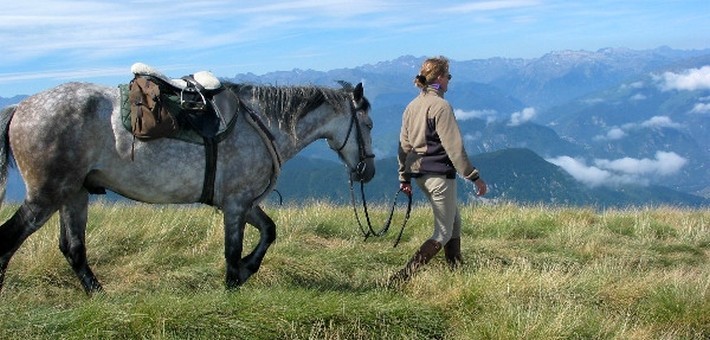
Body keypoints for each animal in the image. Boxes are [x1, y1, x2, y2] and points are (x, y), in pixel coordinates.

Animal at [0, 81, 378, 294]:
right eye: (370, 124)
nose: (368, 171)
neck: (264, 124)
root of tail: (21, 107)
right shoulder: (236, 205)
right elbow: (232, 250)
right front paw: (233, 284)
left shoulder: (241, 202)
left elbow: (269, 231)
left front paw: (247, 271)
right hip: (46, 196)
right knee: (10, 239)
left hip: (74, 194)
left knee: (74, 249)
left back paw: (99, 294)